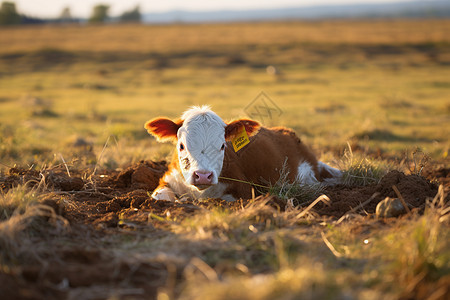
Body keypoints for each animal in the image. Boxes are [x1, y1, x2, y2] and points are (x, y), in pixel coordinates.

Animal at [145, 105, 342, 202]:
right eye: (181, 146)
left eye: (222, 146)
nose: (203, 176)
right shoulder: (167, 180)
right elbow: (162, 196)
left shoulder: (244, 191)